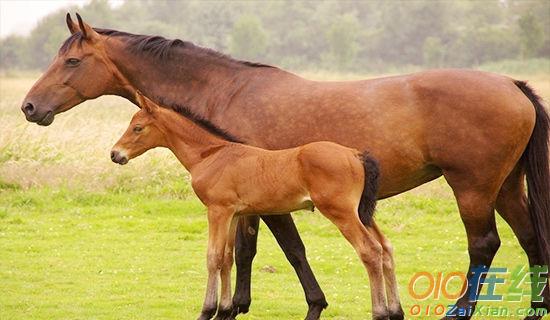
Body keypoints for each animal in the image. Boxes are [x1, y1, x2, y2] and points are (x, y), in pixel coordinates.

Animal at [112, 92, 394, 320]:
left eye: (137, 128)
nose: (116, 154)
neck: (212, 155)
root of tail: (355, 154)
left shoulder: (217, 211)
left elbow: (213, 257)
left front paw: (207, 311)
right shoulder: (234, 213)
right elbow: (227, 258)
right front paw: (224, 311)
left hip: (341, 212)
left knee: (370, 251)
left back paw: (380, 312)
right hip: (362, 213)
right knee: (386, 248)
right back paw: (395, 311)